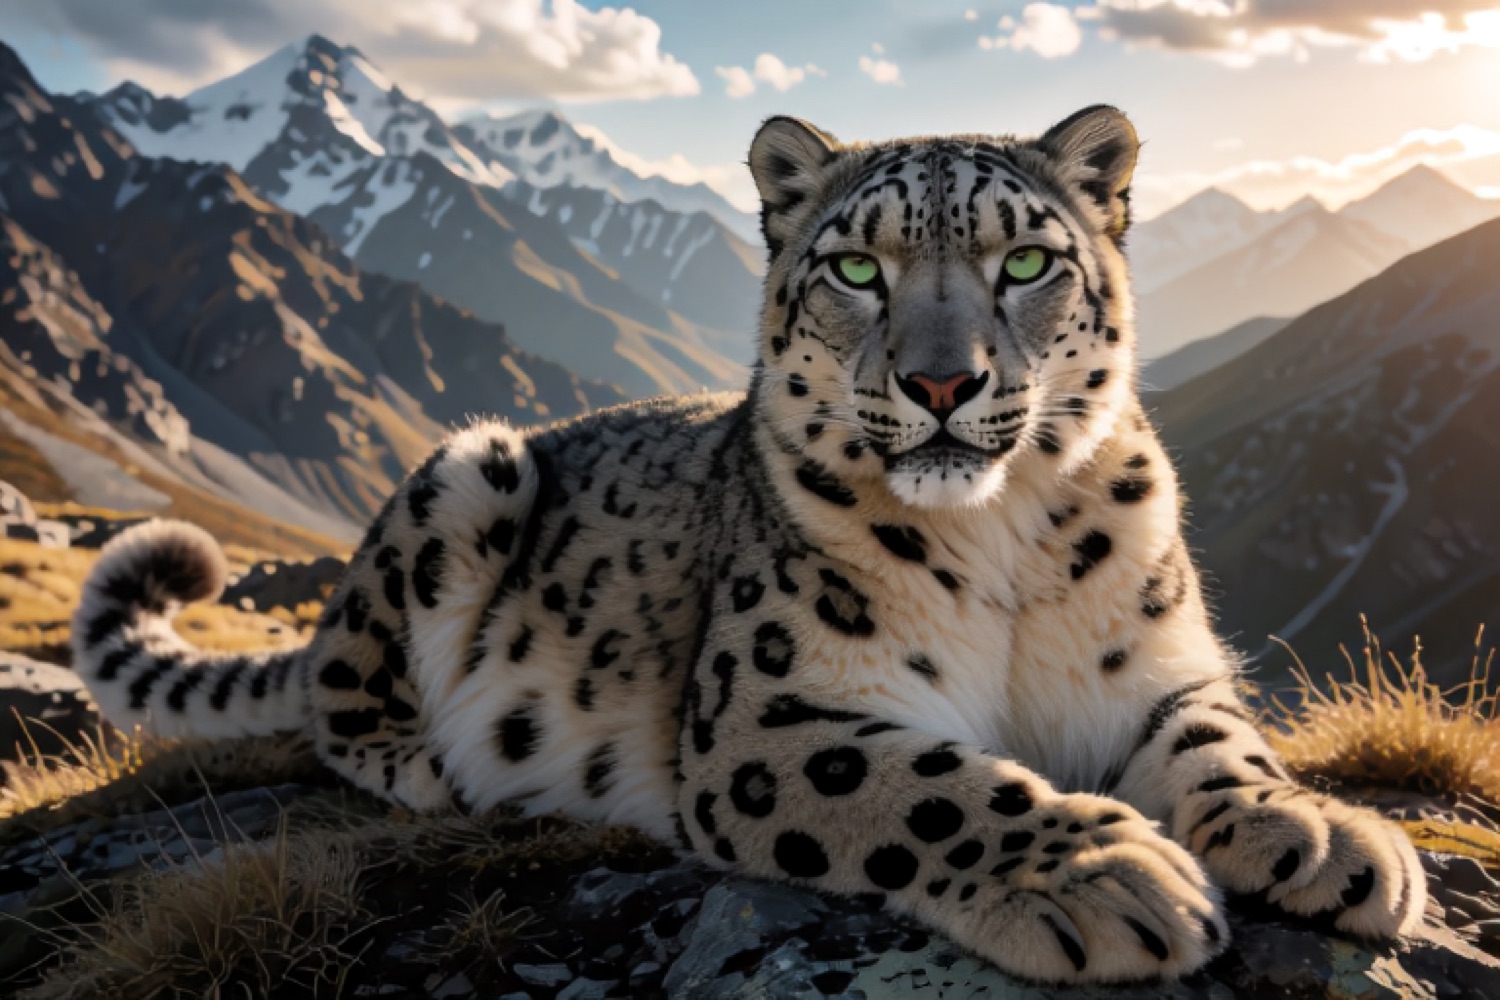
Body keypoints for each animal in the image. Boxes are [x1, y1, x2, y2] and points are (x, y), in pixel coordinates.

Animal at [70, 105, 1425, 985]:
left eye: (1029, 259)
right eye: (858, 267)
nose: (943, 382)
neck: (1000, 539)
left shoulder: (1157, 667)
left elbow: (1219, 738)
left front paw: (1321, 835)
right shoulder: (765, 718)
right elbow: (937, 784)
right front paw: (1102, 874)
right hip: (467, 471)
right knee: (341, 695)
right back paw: (428, 765)